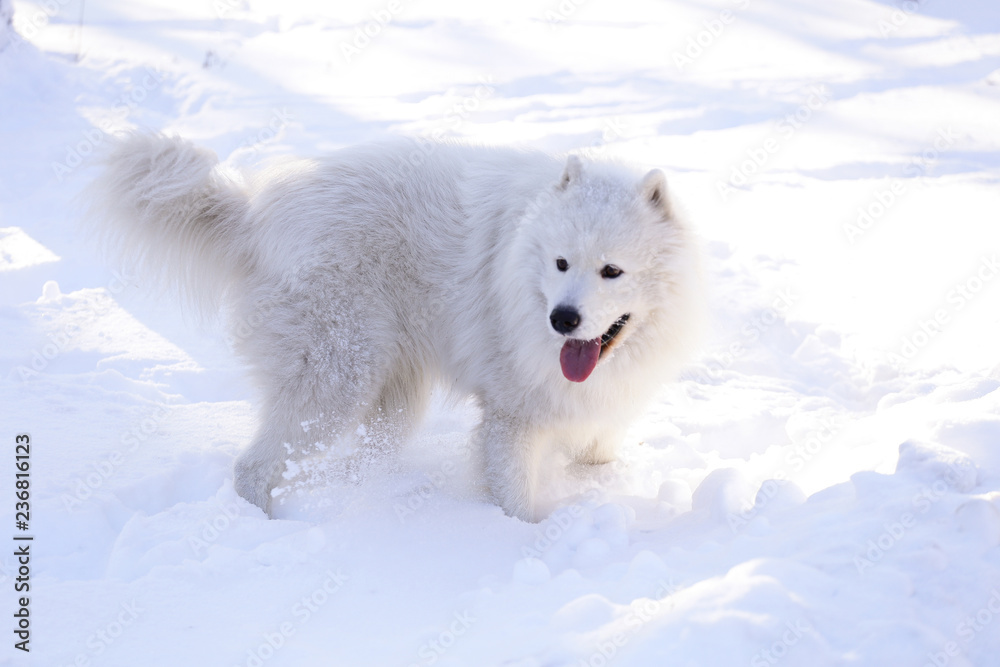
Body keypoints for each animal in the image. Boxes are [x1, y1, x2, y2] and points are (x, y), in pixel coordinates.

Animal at [94, 134, 704, 520]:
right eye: (560, 263)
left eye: (611, 270)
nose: (563, 319)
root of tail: (255, 213)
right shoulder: (512, 419)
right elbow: (515, 503)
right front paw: (519, 543)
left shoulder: (596, 419)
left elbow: (595, 457)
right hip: (333, 384)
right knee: (252, 468)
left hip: (389, 397)